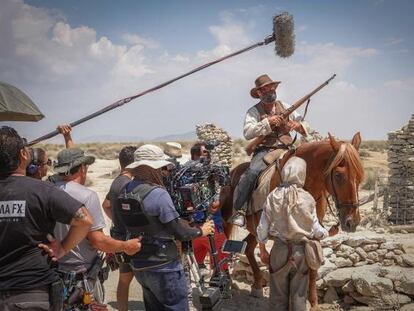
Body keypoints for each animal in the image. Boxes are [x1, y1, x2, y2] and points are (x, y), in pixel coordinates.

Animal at [222, 133, 364, 310]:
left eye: (359, 176)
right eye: (338, 175)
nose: (352, 222)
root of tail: (233, 171)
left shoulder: (312, 234)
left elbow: (312, 269)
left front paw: (313, 304)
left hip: (254, 230)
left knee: (248, 247)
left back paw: (257, 286)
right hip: (226, 222)